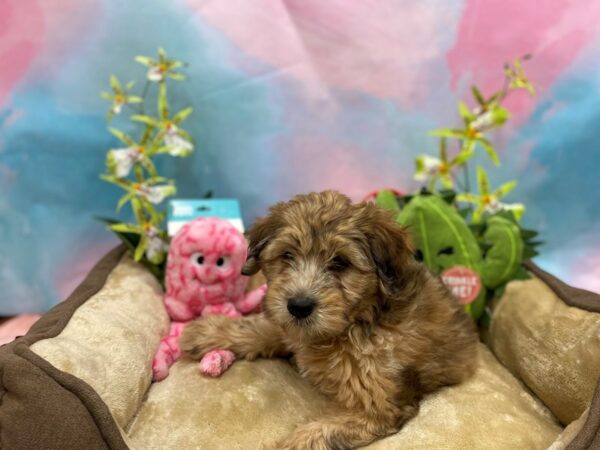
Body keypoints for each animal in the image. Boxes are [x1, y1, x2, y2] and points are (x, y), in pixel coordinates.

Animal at [180, 191, 480, 450]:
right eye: (287, 255)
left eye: (340, 263)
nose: (299, 306)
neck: (357, 324)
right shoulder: (291, 326)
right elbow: (262, 327)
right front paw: (206, 332)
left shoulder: (379, 407)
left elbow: (320, 432)